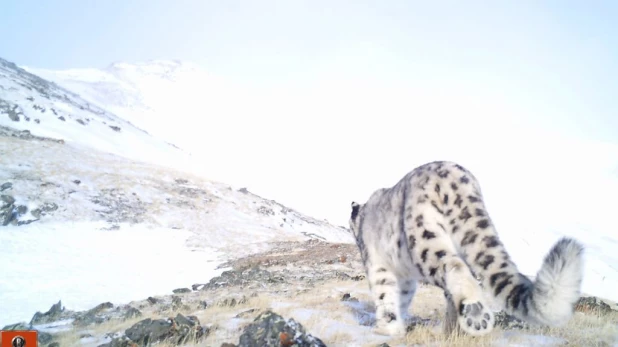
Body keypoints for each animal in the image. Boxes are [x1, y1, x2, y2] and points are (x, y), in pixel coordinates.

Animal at [346, 162, 584, 338]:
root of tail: (452, 174)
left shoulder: (377, 266)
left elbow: (384, 295)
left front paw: (385, 328)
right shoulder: (405, 278)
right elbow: (402, 297)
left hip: (424, 238)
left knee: (453, 266)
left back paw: (474, 315)